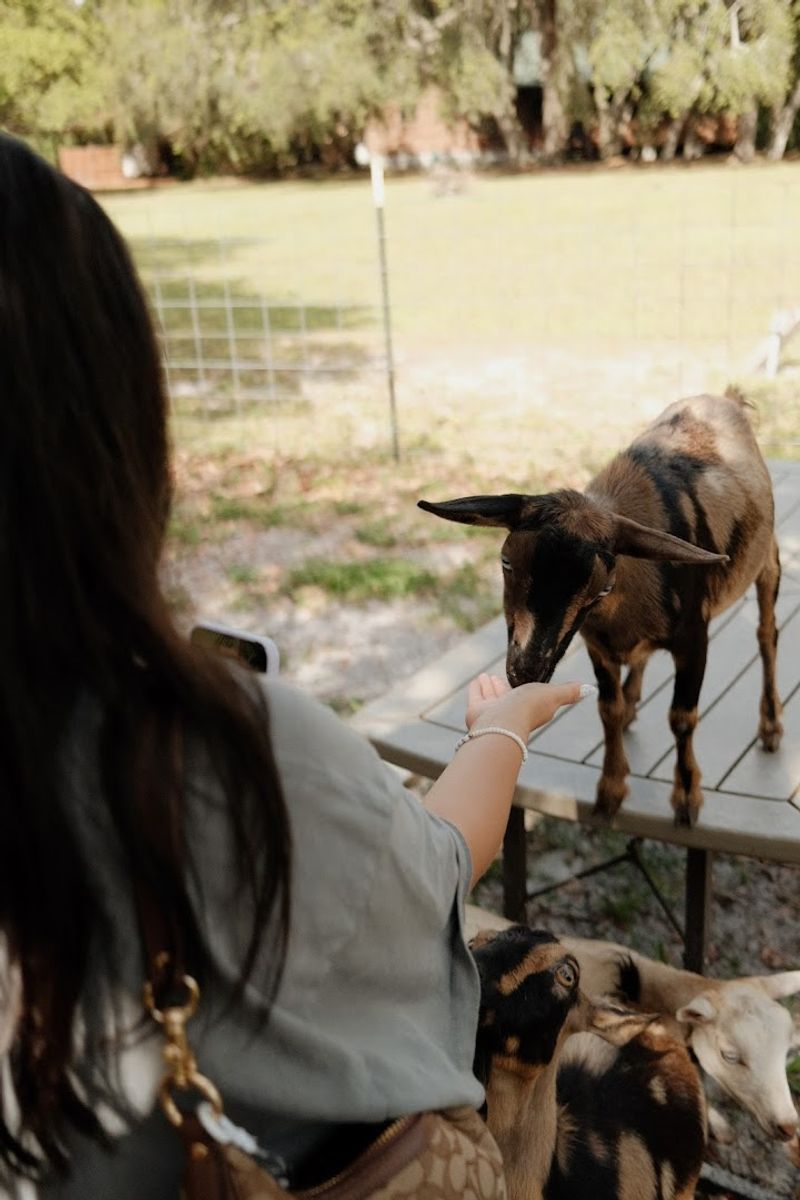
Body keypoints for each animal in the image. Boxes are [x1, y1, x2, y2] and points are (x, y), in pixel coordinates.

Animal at [419, 392, 782, 826]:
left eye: (602, 587)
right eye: (506, 562)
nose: (526, 672)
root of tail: (727, 397)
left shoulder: (695, 637)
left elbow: (682, 717)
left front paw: (687, 797)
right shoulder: (596, 644)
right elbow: (607, 709)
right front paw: (610, 790)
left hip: (768, 560)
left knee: (767, 635)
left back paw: (771, 727)